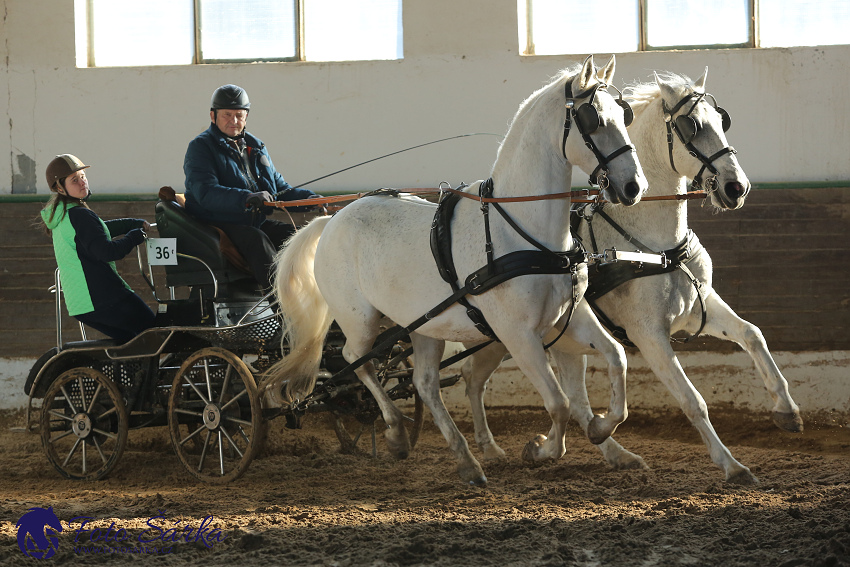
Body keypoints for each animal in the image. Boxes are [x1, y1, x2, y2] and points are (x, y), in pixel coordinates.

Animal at [262, 55, 644, 486]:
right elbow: (559, 403)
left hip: (424, 326)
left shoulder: (569, 318)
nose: (633, 187)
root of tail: (332, 219)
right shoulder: (518, 334)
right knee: (356, 360)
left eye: (624, 115)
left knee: (424, 384)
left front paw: (602, 429)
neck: (524, 233)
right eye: (593, 119)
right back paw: (396, 432)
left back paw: (465, 460)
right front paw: (540, 449)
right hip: (359, 320)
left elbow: (616, 358)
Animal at [460, 67, 800, 484]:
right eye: (690, 127)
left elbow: (753, 335)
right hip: (501, 337)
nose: (737, 187)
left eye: (723, 121)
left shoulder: (699, 307)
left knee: (560, 396)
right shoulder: (649, 334)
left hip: (548, 341)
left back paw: (604, 450)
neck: (655, 246)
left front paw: (787, 410)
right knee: (473, 379)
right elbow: (693, 400)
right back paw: (488, 450)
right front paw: (732, 465)